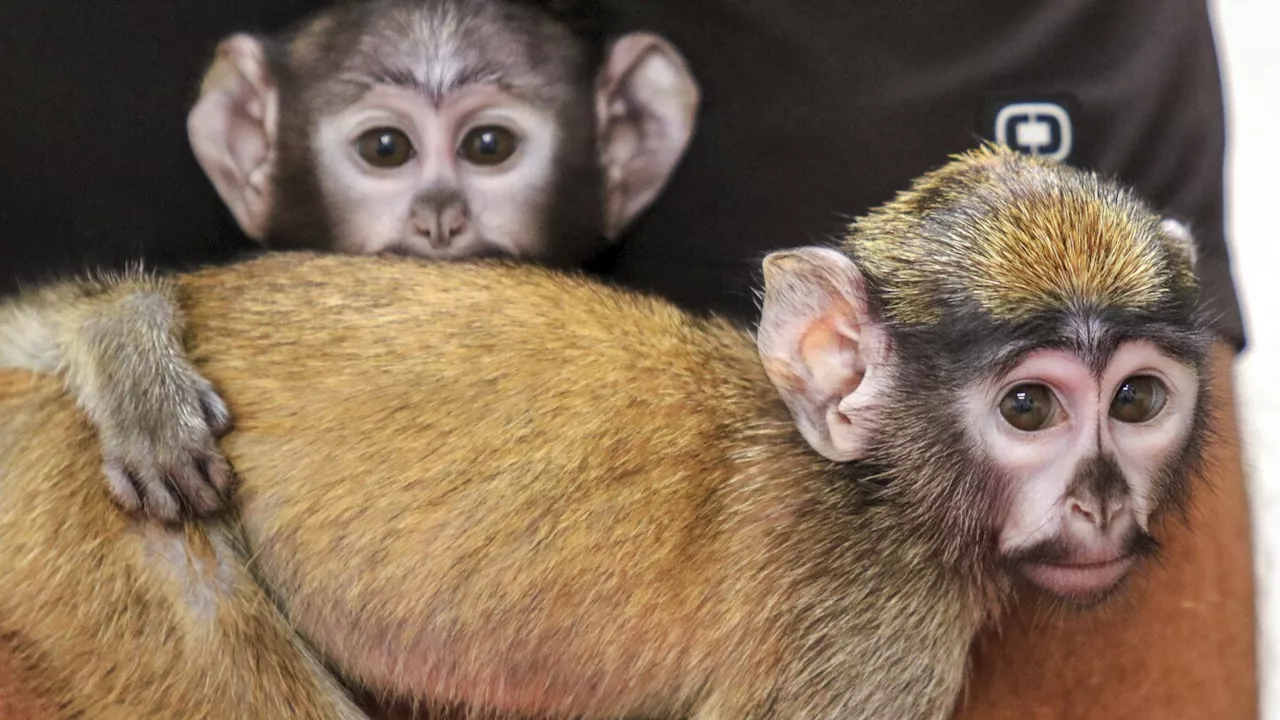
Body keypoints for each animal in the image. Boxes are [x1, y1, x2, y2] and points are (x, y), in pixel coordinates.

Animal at [0, 147, 1208, 717]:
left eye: (1136, 401)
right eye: (1029, 408)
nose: (1102, 496)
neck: (867, 478)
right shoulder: (868, 623)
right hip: (64, 481)